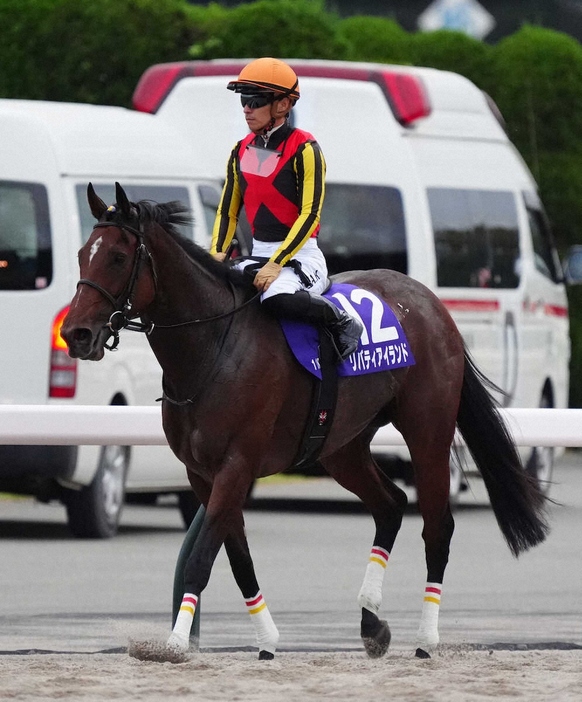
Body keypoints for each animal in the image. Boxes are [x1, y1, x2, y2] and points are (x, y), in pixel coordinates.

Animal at [61, 184, 548, 664]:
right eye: (84, 254)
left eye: (118, 257)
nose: (76, 334)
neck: (214, 348)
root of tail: (432, 304)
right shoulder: (201, 473)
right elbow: (236, 556)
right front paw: (266, 639)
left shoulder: (236, 465)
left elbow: (202, 557)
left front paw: (176, 644)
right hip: (342, 447)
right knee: (390, 504)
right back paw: (371, 623)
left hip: (428, 431)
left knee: (437, 526)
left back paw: (427, 639)